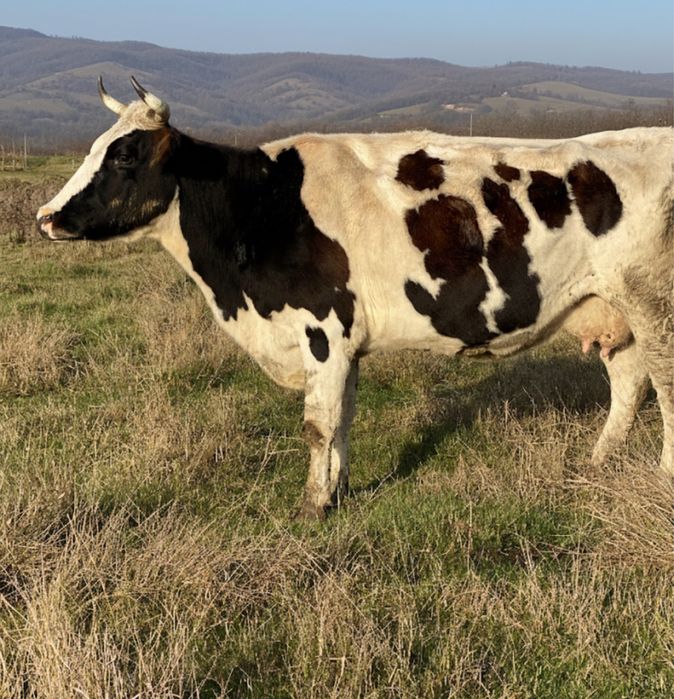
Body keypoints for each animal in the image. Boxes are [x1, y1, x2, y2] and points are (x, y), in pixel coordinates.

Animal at [38, 77, 673, 519]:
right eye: (95, 147)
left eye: (124, 155)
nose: (46, 217)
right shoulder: (342, 343)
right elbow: (340, 416)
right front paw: (337, 492)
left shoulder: (320, 327)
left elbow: (317, 424)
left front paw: (311, 505)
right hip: (614, 306)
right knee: (629, 379)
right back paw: (598, 461)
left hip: (654, 302)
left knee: (664, 385)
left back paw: (664, 476)